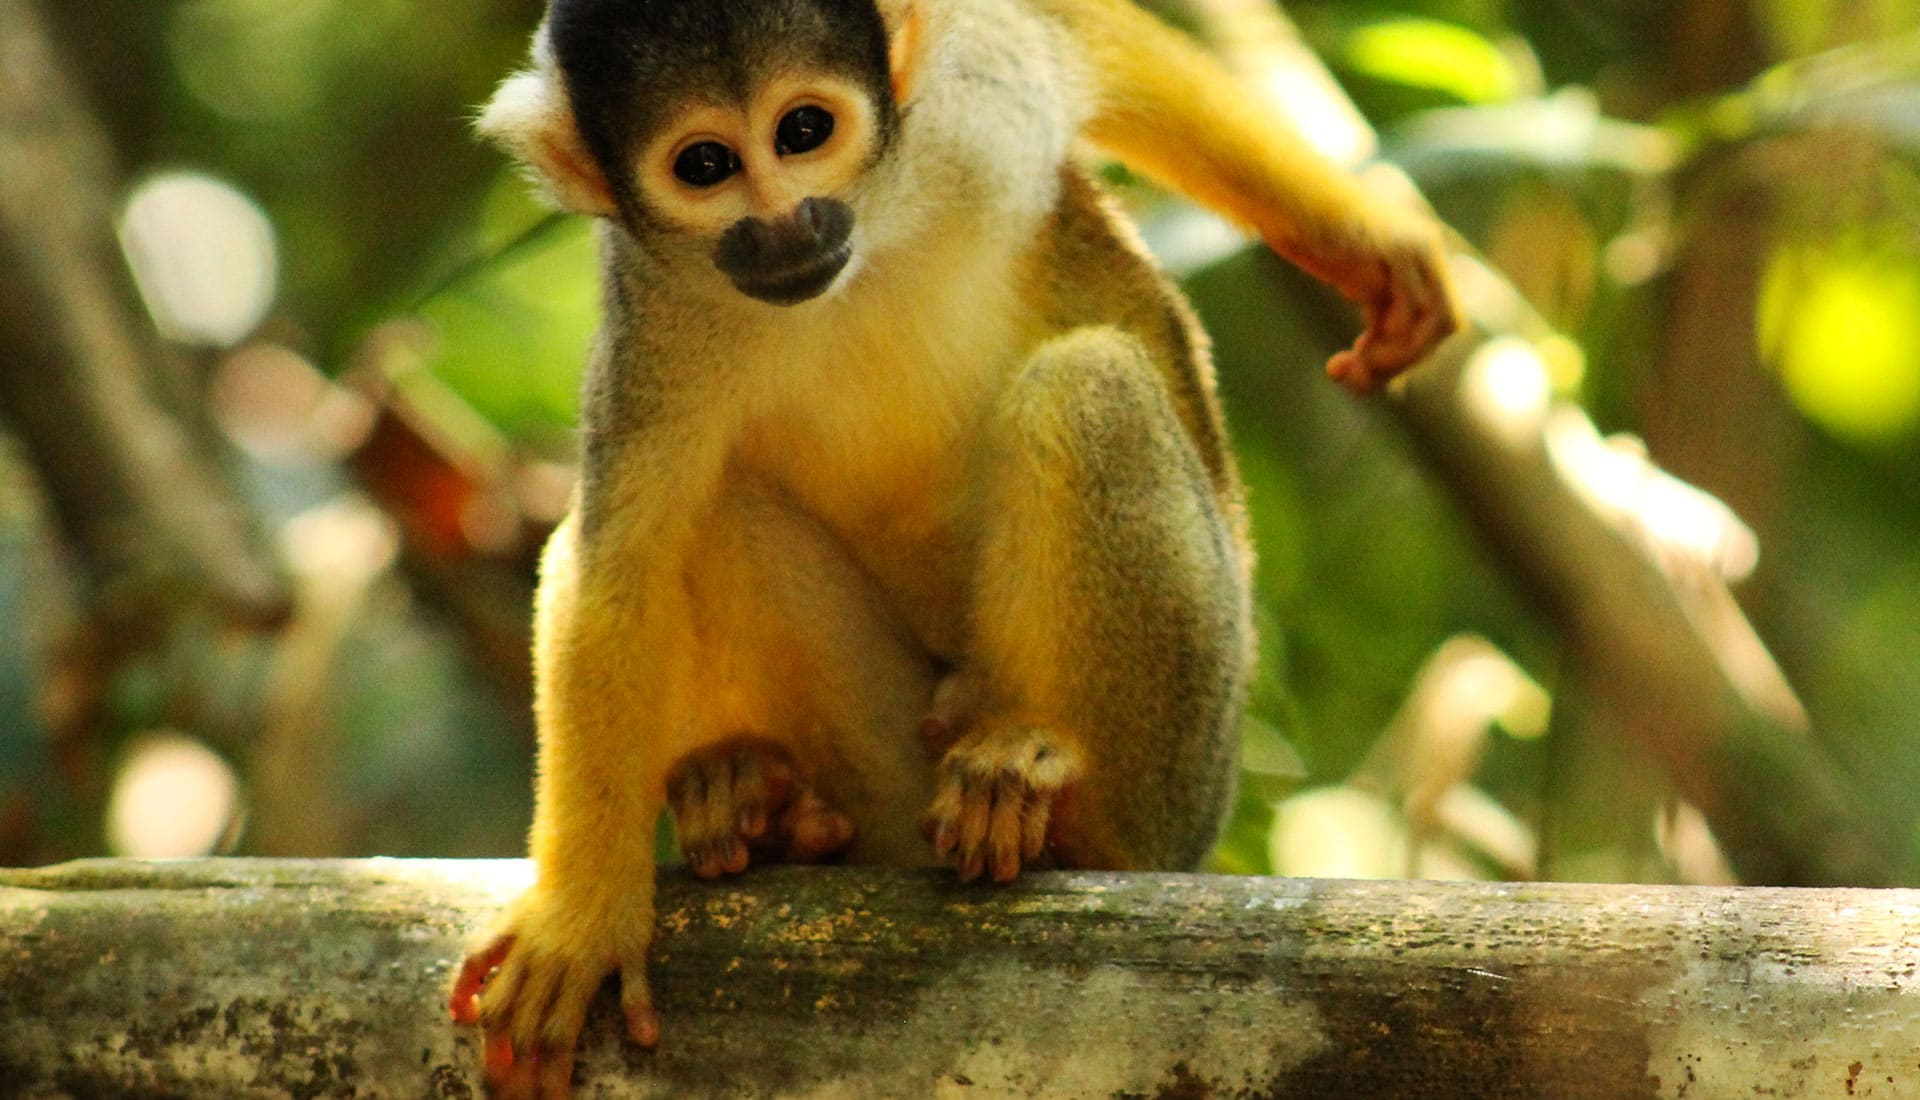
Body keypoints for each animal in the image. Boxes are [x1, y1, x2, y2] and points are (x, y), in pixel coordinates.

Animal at [447, 0, 1458, 1095]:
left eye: (804, 132)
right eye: (705, 163)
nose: (788, 224)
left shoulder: (973, 107)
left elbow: (1079, 41)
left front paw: (1365, 242)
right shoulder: (655, 311)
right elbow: (619, 559)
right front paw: (584, 913)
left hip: (1184, 765)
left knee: (1088, 385)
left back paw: (1050, 808)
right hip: (898, 783)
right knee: (722, 508)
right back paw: (765, 806)